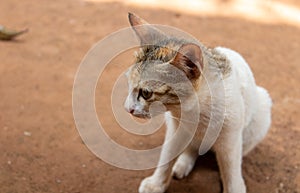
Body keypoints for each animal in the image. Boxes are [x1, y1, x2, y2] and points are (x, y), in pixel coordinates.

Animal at [124, 12, 272, 193]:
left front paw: (234, 186)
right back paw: (183, 163)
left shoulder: (230, 138)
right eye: (129, 84)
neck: (195, 111)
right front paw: (157, 183)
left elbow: (230, 169)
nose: (127, 109)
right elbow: (167, 154)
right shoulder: (176, 129)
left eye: (146, 93)